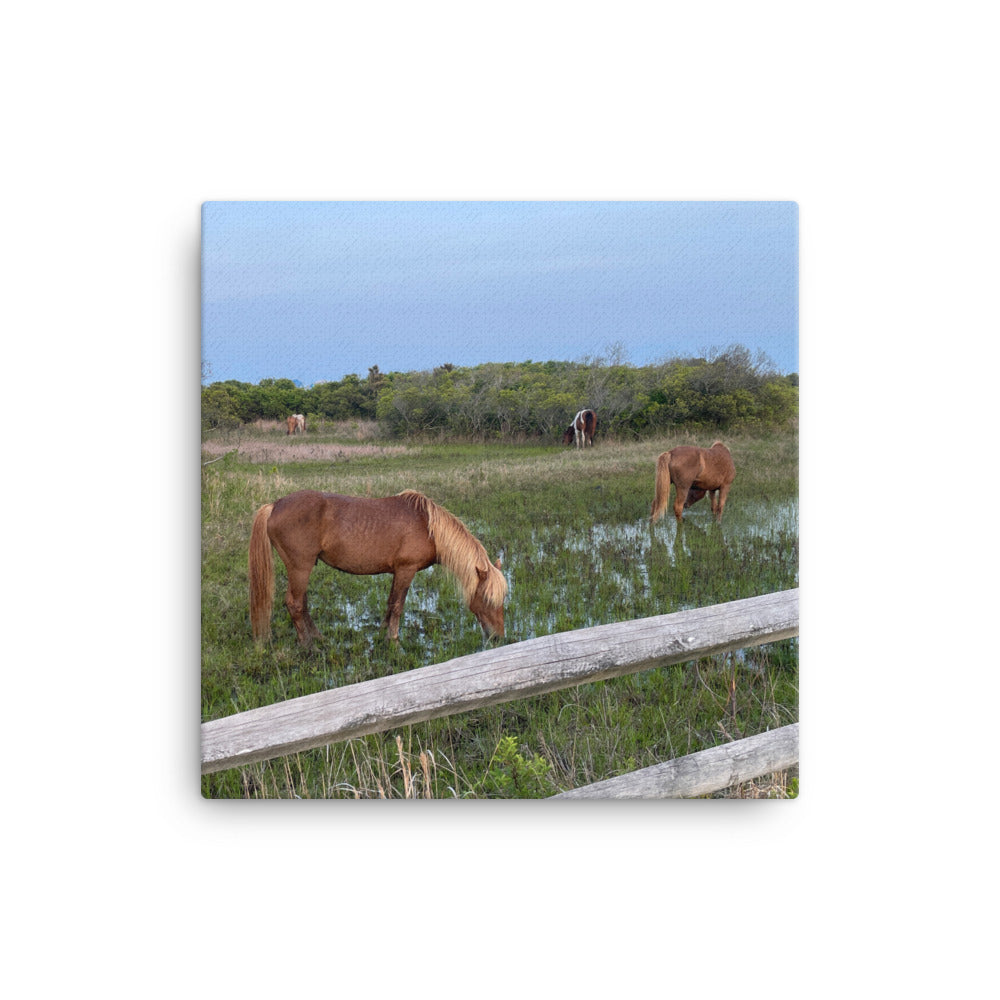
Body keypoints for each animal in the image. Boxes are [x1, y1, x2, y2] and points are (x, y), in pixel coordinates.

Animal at [246, 488, 504, 644]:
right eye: (487, 599)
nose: (498, 637)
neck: (428, 527)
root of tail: (275, 505)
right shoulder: (406, 570)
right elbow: (398, 606)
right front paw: (394, 640)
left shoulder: (397, 572)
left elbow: (390, 603)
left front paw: (382, 633)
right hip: (300, 568)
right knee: (295, 605)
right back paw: (309, 647)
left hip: (302, 570)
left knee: (302, 604)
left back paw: (318, 638)